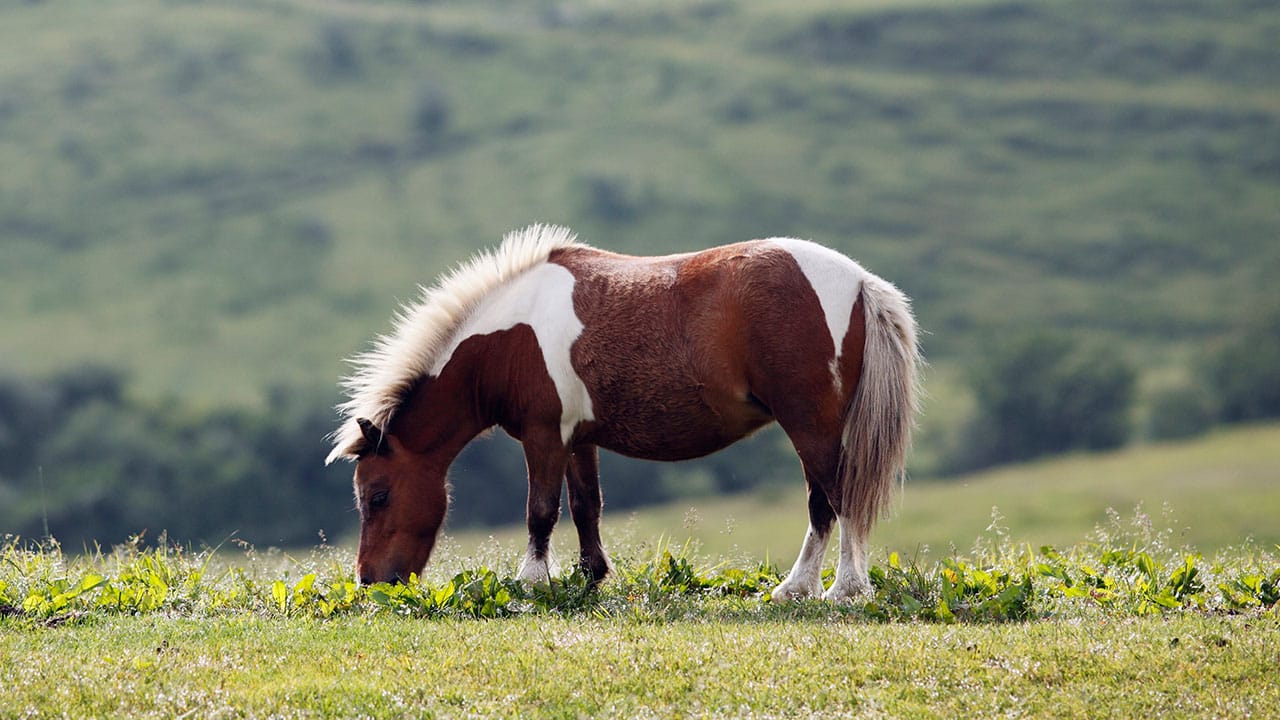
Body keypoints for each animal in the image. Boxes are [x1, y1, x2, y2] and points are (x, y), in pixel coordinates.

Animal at [325, 224, 916, 599]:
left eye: (378, 496)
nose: (370, 581)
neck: (509, 339)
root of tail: (859, 283)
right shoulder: (577, 439)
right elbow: (586, 507)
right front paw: (590, 576)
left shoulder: (543, 436)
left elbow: (540, 511)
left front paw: (532, 583)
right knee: (828, 501)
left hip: (810, 423)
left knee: (833, 498)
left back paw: (830, 588)